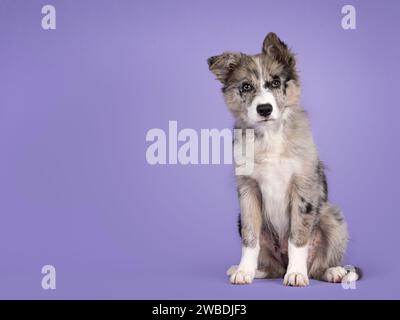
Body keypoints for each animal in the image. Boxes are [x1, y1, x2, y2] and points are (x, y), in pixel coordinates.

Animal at [208, 33, 360, 288]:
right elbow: (250, 238)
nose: (264, 109)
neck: (270, 135)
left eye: (276, 83)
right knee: (273, 268)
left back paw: (333, 272)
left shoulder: (302, 186)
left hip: (333, 217)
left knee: (317, 266)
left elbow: (297, 236)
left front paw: (296, 274)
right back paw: (252, 269)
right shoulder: (248, 189)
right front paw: (244, 271)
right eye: (246, 86)